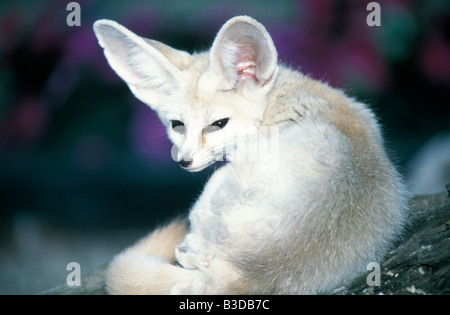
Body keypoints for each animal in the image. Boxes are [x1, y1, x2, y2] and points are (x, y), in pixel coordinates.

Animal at [94, 15, 408, 296]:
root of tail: (249, 275)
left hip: (215, 185)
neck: (278, 102)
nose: (185, 161)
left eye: (219, 123)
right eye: (177, 125)